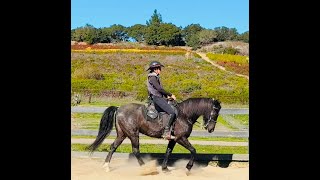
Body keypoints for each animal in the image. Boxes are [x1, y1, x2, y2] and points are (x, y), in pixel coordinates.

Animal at [89, 98, 221, 173]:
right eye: (215, 112)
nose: (211, 129)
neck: (184, 114)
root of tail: (119, 108)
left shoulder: (173, 140)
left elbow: (168, 152)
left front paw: (165, 168)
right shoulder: (181, 138)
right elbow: (193, 150)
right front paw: (188, 168)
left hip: (122, 134)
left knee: (113, 147)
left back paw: (106, 166)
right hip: (133, 134)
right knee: (136, 150)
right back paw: (146, 168)